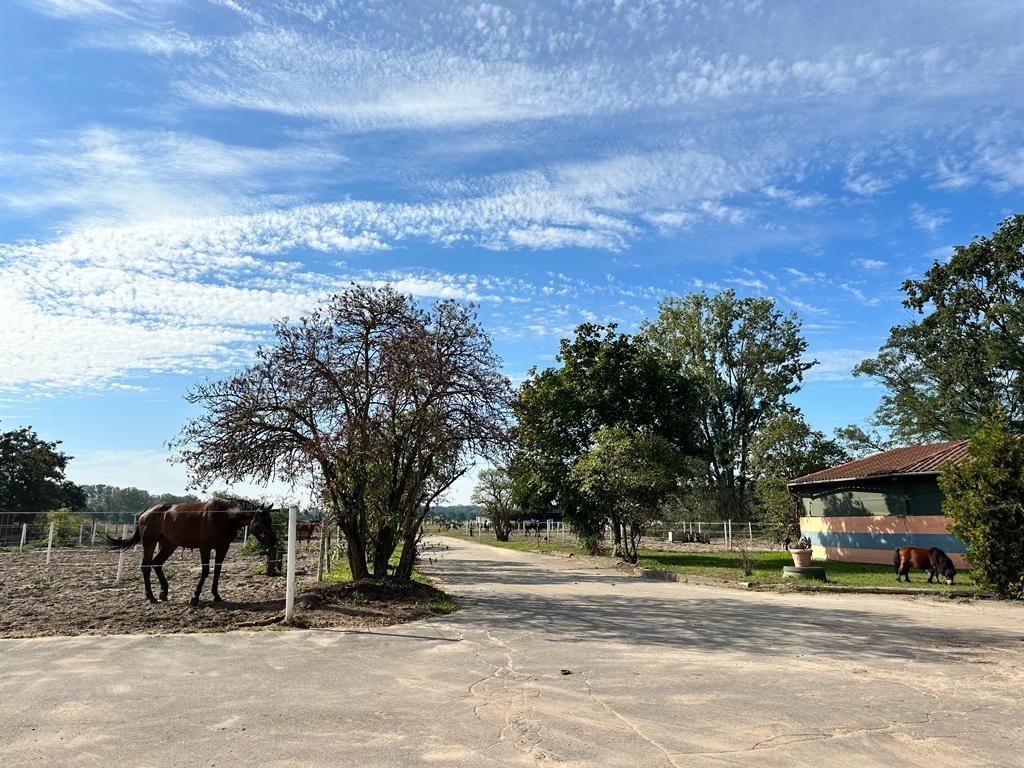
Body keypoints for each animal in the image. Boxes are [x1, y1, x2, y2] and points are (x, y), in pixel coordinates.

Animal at [107, 499, 276, 606]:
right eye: (262, 521)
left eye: (270, 521)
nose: (273, 541)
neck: (223, 516)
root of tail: (147, 511)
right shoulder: (205, 547)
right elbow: (206, 571)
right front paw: (195, 597)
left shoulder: (223, 547)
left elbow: (217, 571)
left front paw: (216, 595)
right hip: (150, 542)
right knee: (146, 566)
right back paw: (151, 596)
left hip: (169, 545)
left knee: (157, 564)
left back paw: (163, 592)